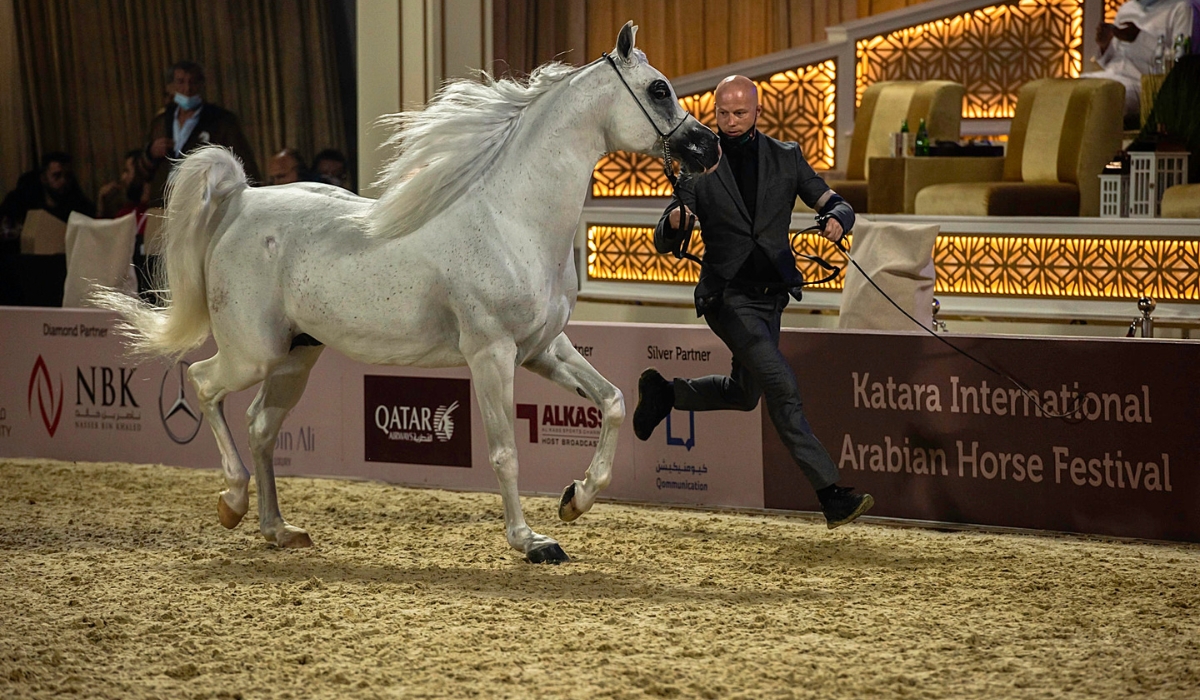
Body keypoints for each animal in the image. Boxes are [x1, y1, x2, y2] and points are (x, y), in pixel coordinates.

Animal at [93, 22, 719, 564]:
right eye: (658, 89)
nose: (708, 147)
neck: (512, 219)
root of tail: (242, 201)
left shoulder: (543, 349)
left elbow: (611, 402)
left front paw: (575, 500)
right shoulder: (492, 355)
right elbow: (506, 453)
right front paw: (531, 542)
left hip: (296, 357)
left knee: (260, 426)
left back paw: (278, 529)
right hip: (255, 354)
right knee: (204, 384)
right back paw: (231, 500)